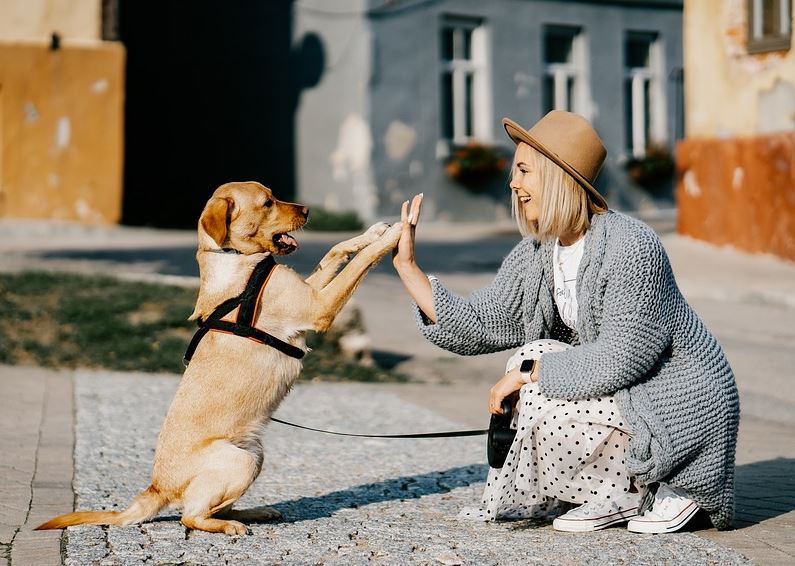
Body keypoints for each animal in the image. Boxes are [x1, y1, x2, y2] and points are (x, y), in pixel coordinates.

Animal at [36, 182, 402, 536]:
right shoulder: (318, 307)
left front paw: (372, 232)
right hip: (239, 462)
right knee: (191, 516)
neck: (237, 260)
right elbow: (359, 263)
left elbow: (336, 251)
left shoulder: (310, 291)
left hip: (254, 455)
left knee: (212, 507)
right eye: (267, 203)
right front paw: (395, 235)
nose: (308, 210)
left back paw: (254, 512)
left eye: (273, 196)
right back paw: (230, 526)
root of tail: (157, 487)